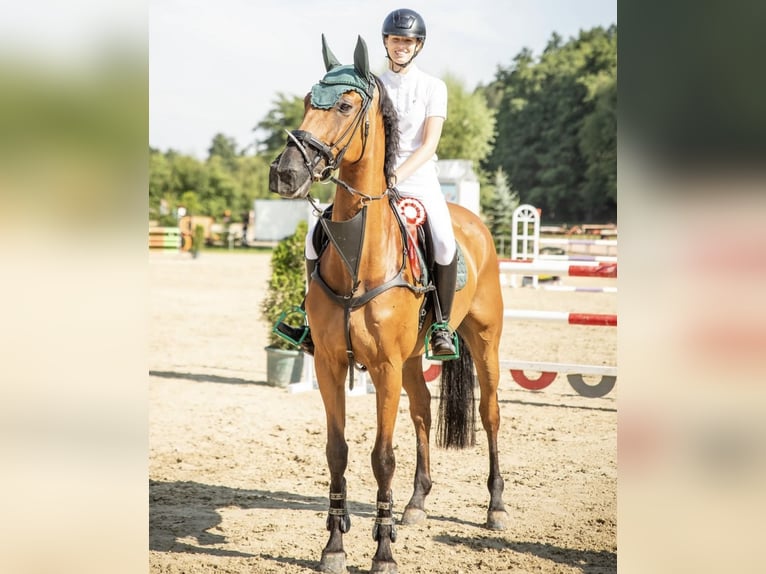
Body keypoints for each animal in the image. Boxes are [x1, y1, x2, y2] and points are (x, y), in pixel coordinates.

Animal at [269, 35, 507, 574]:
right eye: (306, 100)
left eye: (344, 105)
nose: (285, 174)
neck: (360, 255)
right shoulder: (332, 364)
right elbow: (337, 451)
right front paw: (335, 546)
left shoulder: (383, 367)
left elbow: (381, 457)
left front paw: (382, 552)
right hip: (414, 357)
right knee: (422, 412)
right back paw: (415, 504)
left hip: (483, 341)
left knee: (489, 413)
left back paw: (496, 506)